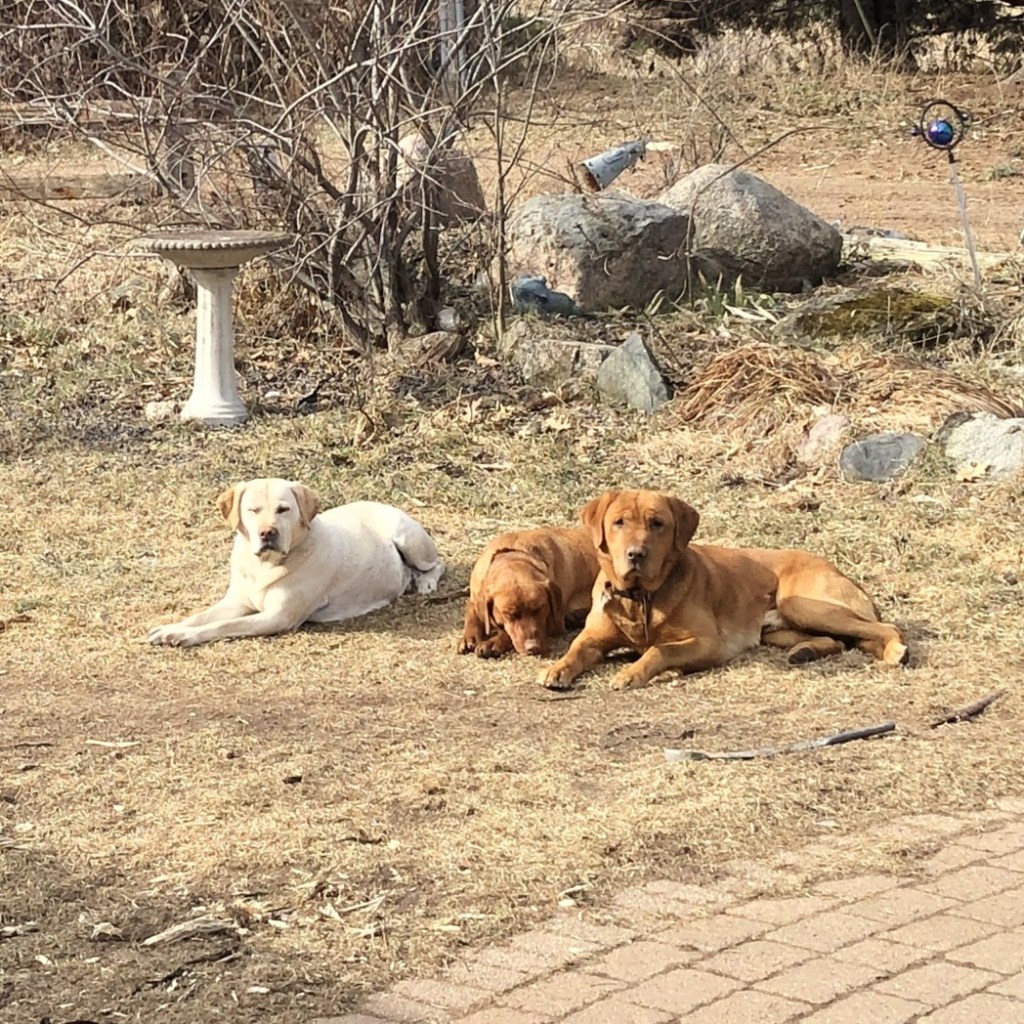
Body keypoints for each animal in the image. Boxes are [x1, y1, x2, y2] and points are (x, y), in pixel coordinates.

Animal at [147, 478, 445, 647]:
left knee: (438, 563)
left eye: (283, 509)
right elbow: (200, 616)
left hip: (409, 538)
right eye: (252, 510)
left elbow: (223, 626)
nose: (267, 533)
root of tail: (383, 504)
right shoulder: (236, 602)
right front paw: (170, 629)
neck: (264, 565)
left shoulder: (277, 616)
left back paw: (426, 582)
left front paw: (185, 636)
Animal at [458, 526, 599, 657]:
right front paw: (469, 636)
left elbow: (508, 634)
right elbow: (471, 614)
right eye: (509, 615)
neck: (512, 553)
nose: (533, 647)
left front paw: (493, 642)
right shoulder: (475, 594)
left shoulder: (555, 622)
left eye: (539, 608)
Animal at [538, 489, 908, 691]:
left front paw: (632, 672)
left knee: (883, 627)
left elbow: (659, 650)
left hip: (800, 603)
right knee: (838, 640)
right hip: (779, 628)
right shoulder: (594, 637)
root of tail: (839, 570)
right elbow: (575, 649)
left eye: (657, 523)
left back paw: (895, 652)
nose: (636, 554)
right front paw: (556, 669)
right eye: (619, 522)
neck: (641, 598)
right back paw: (803, 652)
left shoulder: (709, 643)